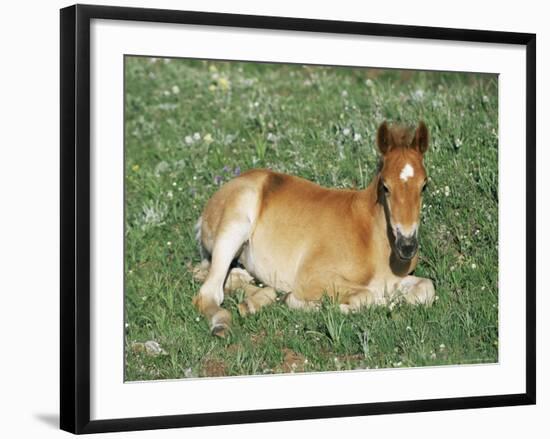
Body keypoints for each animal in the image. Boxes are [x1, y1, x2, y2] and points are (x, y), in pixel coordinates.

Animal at [193, 121, 436, 336]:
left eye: (424, 185)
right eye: (385, 186)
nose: (407, 246)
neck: (372, 238)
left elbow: (426, 288)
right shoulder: (311, 277)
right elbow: (366, 294)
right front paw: (307, 303)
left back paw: (253, 301)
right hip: (235, 224)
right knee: (208, 292)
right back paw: (223, 324)